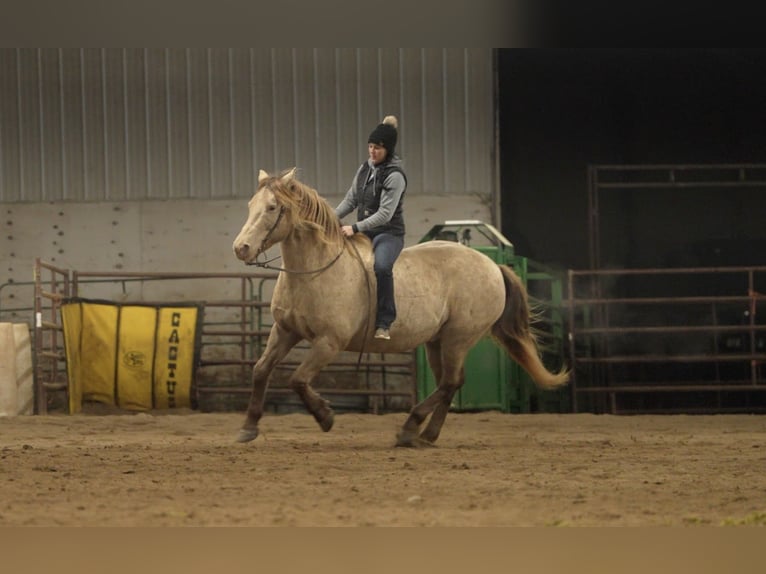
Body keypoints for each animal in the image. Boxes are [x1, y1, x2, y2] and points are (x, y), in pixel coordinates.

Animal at [232, 168, 569, 447]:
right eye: (250, 205)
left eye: (272, 207)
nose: (241, 248)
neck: (314, 270)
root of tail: (493, 266)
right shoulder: (285, 331)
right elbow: (261, 370)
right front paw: (248, 428)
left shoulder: (328, 343)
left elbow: (298, 379)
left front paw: (325, 416)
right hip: (437, 341)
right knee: (450, 383)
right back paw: (425, 434)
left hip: (459, 338)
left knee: (449, 382)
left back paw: (410, 428)